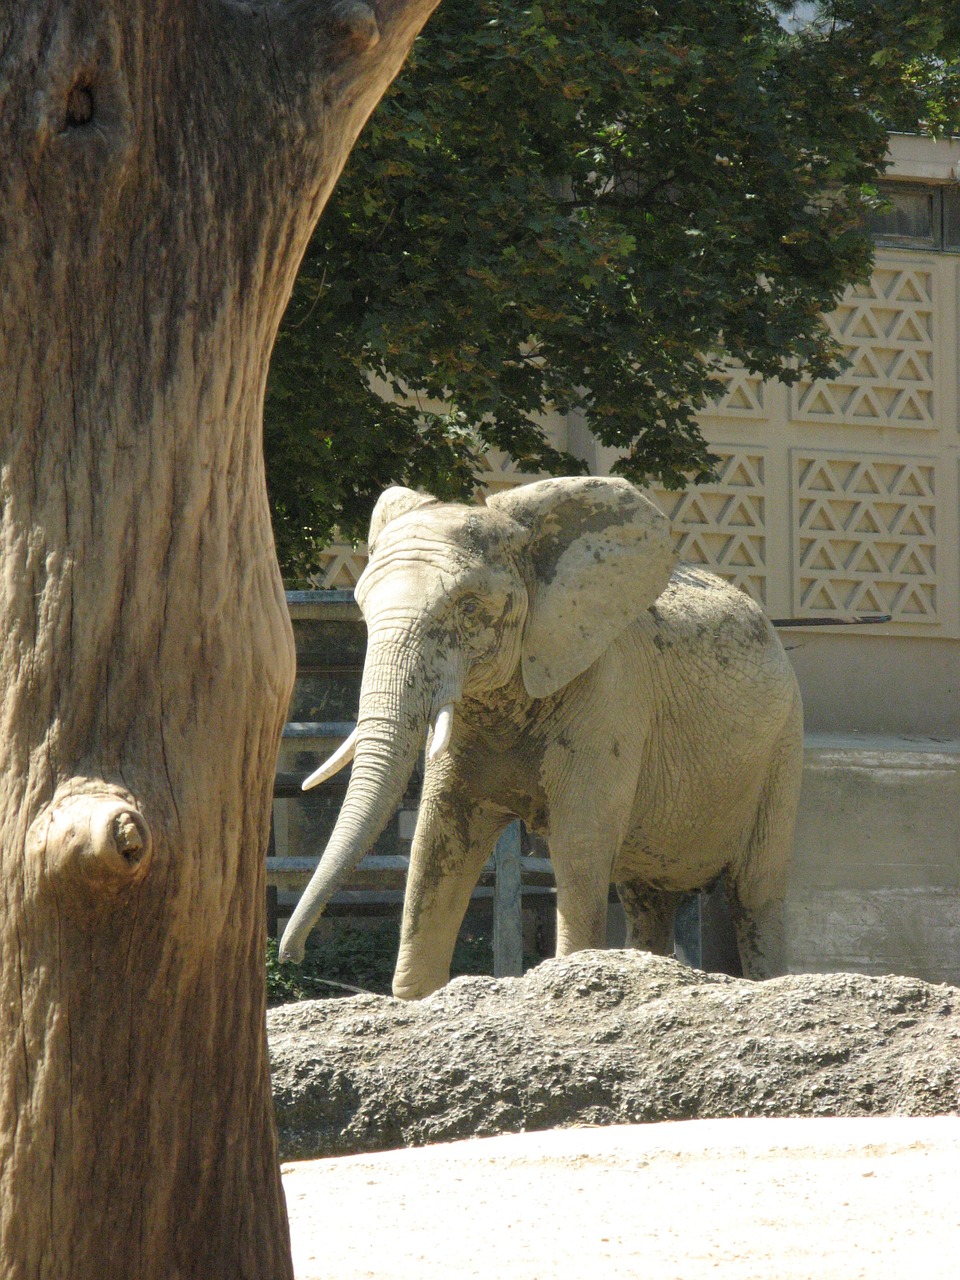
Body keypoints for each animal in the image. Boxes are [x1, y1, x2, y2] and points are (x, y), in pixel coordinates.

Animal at [277, 476, 803, 993]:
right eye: (363, 611)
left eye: (470, 607)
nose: (290, 956)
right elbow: (435, 840)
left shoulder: (609, 695)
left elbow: (581, 843)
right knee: (646, 897)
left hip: (783, 749)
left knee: (755, 893)